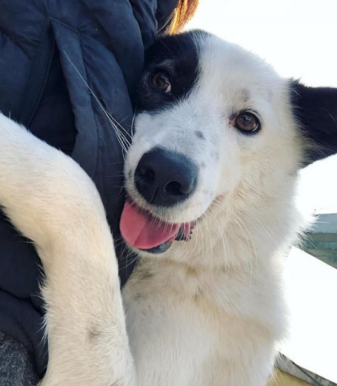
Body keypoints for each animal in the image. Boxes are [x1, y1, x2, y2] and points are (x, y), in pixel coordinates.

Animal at [0, 30, 334, 386]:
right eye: (161, 81)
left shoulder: (105, 374)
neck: (190, 267)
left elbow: (76, 188)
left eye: (247, 121)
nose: (163, 175)